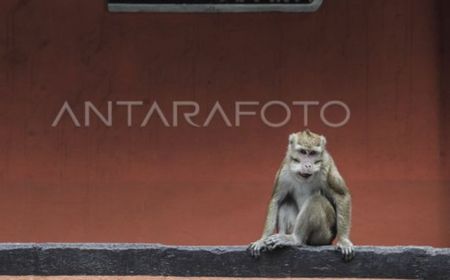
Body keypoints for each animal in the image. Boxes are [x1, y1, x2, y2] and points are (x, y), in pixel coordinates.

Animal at [246, 130, 356, 262]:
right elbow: (276, 200)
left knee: (316, 200)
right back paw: (283, 237)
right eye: (303, 152)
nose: (308, 165)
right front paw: (262, 240)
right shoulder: (285, 167)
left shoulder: (326, 164)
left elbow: (341, 195)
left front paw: (344, 240)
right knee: (287, 201)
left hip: (324, 235)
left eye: (313, 153)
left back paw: (295, 239)